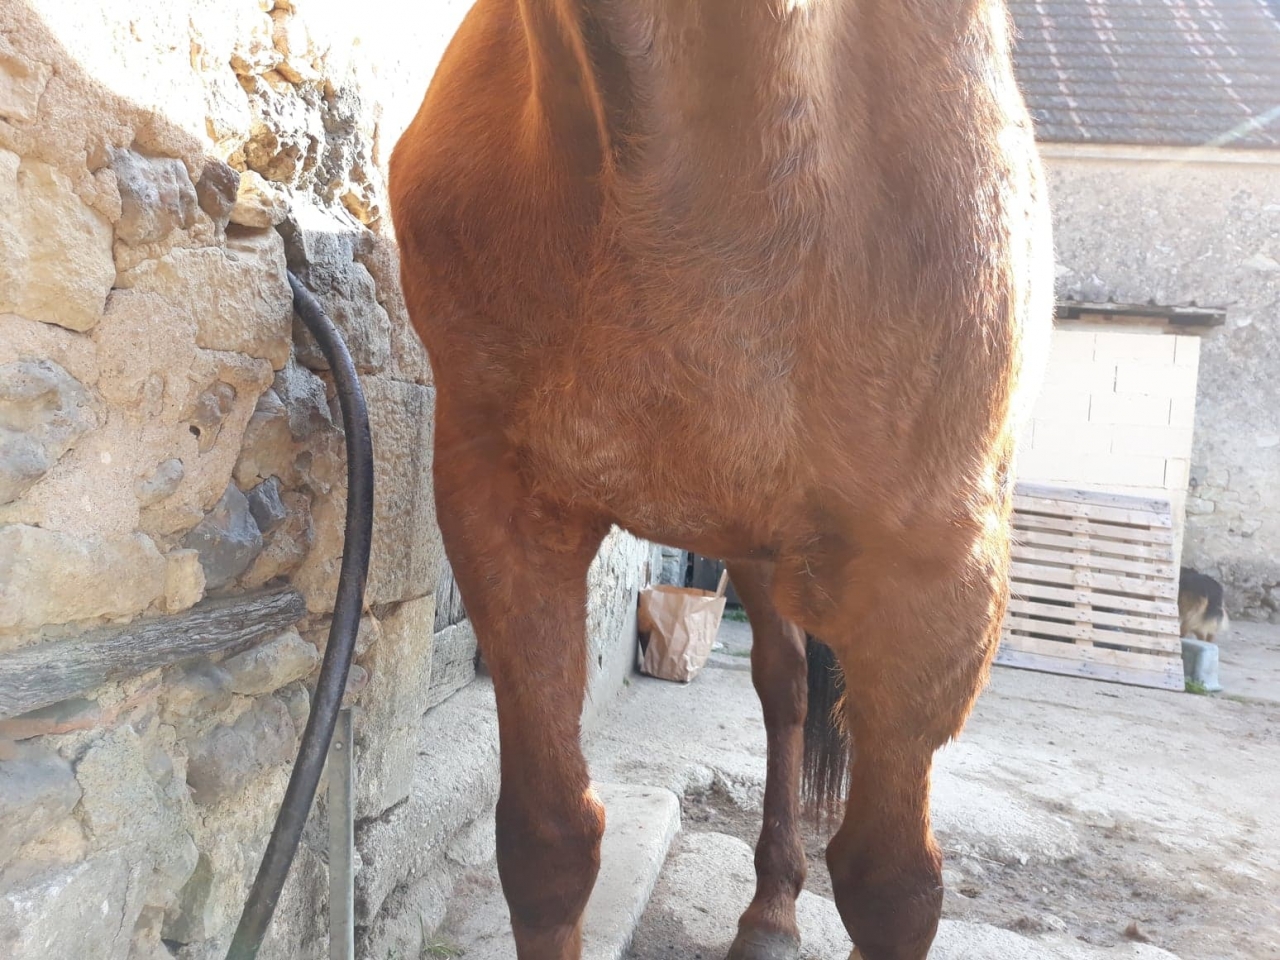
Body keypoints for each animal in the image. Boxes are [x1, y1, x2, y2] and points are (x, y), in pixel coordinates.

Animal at [388, 2, 1053, 958]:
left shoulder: (934, 585)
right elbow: (548, 842)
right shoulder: (501, 507)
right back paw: (771, 908)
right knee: (785, 687)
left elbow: (894, 888)